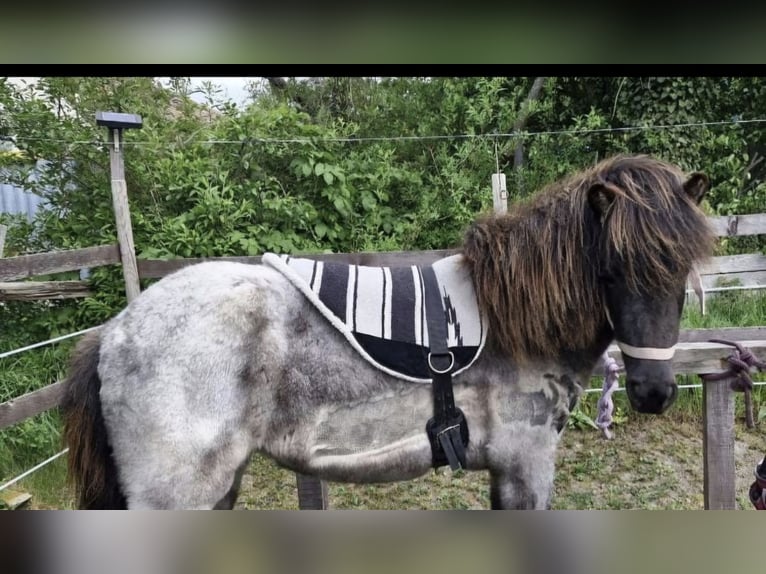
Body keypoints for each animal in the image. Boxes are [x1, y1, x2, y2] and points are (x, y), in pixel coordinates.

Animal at [61, 154, 716, 509]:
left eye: (683, 270)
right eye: (612, 271)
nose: (654, 393)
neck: (517, 321)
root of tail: (116, 331)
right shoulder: (527, 464)